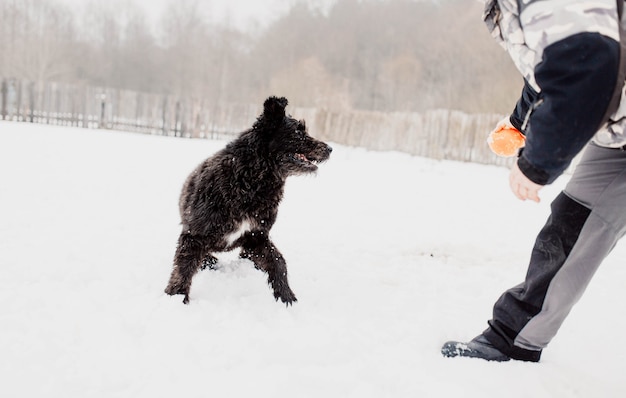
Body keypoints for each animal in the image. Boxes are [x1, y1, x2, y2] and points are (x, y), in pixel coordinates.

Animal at [165, 96, 332, 304]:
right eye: (298, 132)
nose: (330, 148)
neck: (250, 182)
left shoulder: (256, 236)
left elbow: (278, 262)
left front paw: (285, 296)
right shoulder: (194, 235)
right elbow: (183, 269)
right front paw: (176, 298)